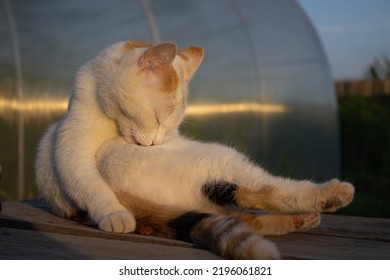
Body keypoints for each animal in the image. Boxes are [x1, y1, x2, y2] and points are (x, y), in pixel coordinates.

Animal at [35, 40, 354, 260]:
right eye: (156, 118)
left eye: (170, 125)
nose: (156, 144)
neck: (112, 124)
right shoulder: (72, 143)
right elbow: (84, 179)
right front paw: (114, 215)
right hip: (223, 161)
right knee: (267, 191)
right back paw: (331, 195)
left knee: (245, 214)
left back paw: (300, 218)